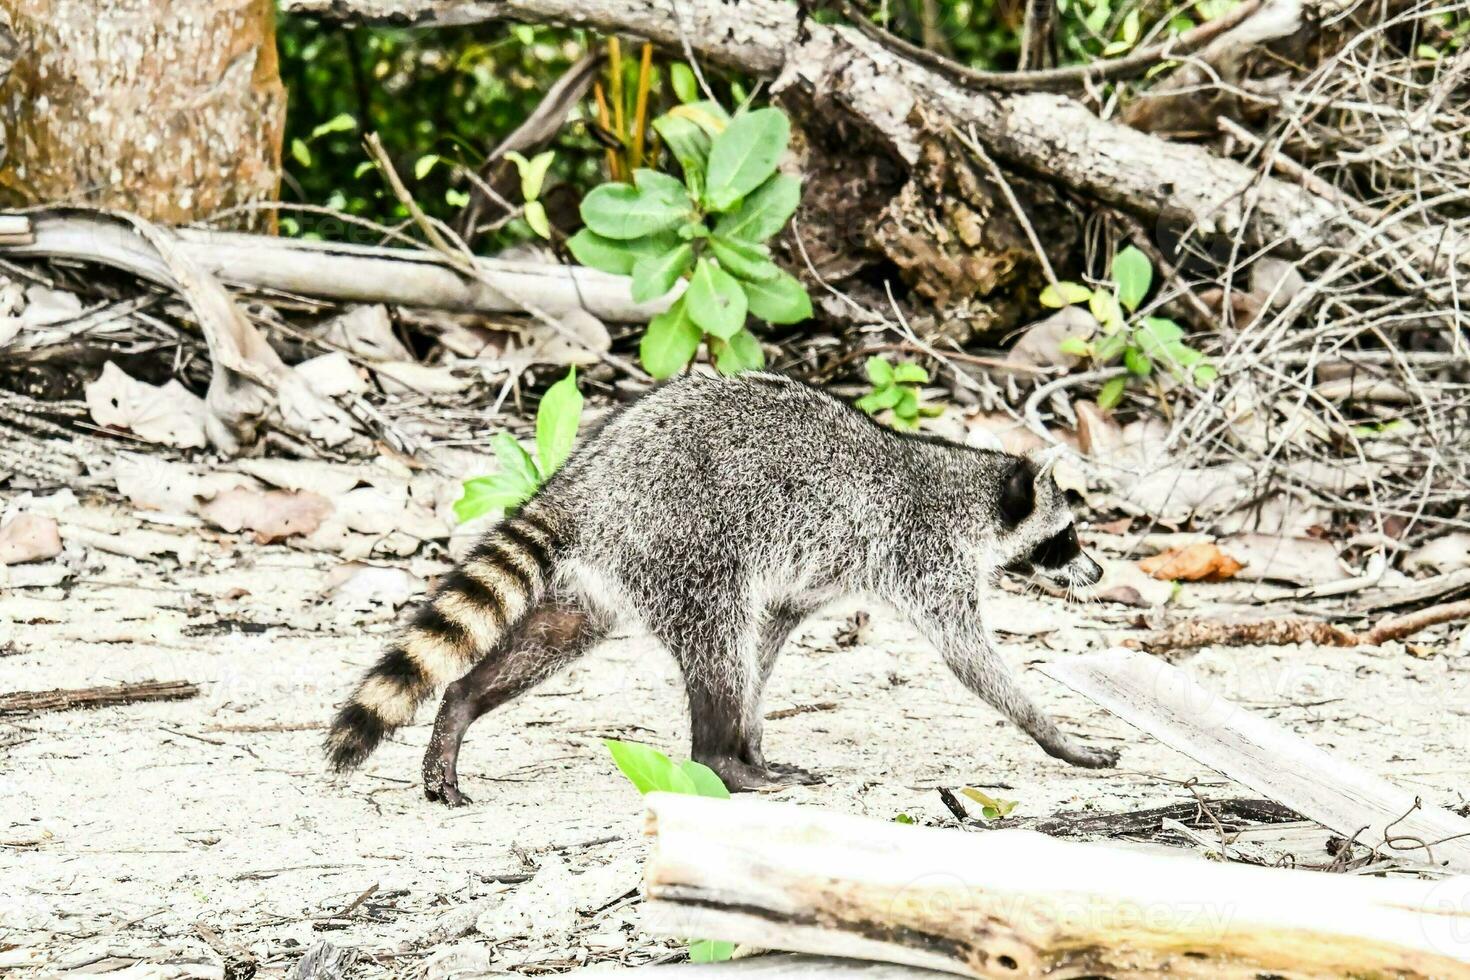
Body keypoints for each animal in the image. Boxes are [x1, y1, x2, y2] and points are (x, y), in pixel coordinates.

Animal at [330, 370, 1111, 805]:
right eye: (1068, 536)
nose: (1098, 572)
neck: (968, 488)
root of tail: (588, 476)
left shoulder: (818, 576)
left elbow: (771, 638)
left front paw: (754, 733)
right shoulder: (924, 554)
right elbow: (971, 660)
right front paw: (1055, 732)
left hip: (616, 566)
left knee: (561, 635)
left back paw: (460, 708)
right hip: (685, 543)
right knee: (717, 637)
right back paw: (721, 762)